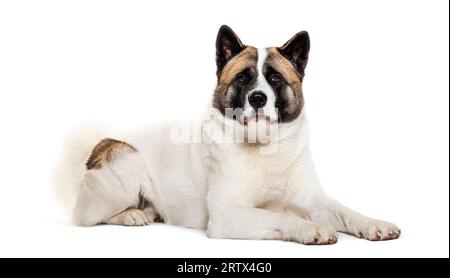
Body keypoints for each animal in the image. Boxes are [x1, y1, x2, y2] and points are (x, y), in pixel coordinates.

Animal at [57, 25, 400, 244]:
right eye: (243, 79)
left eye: (275, 79)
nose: (258, 98)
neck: (264, 148)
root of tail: (101, 144)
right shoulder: (228, 214)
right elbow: (284, 218)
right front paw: (311, 229)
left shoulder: (311, 198)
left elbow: (344, 211)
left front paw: (375, 224)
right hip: (126, 159)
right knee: (86, 216)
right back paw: (131, 215)